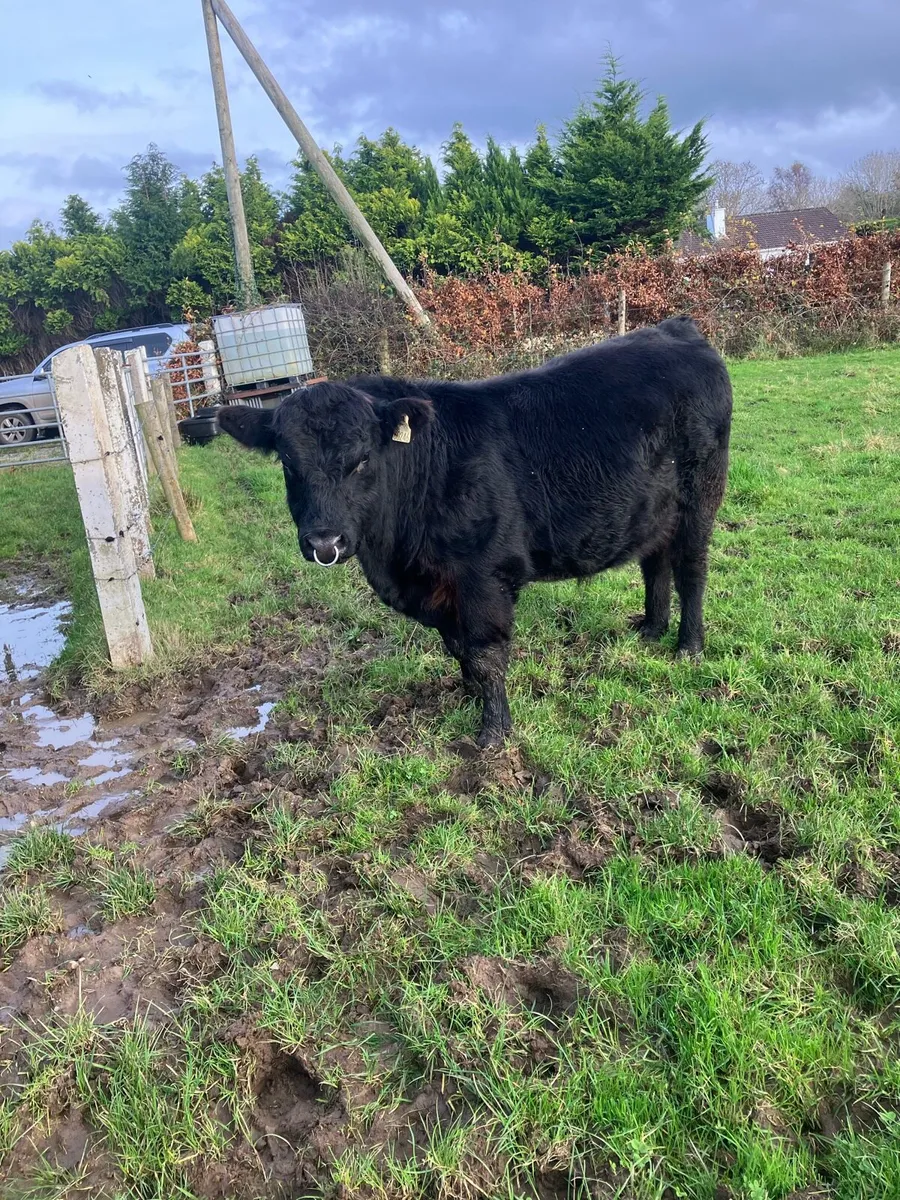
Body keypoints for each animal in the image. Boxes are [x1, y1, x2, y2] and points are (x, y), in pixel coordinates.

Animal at [218, 316, 732, 747]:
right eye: (288, 463)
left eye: (362, 459)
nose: (325, 542)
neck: (396, 561)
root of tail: (677, 329)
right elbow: (457, 646)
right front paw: (467, 694)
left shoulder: (484, 577)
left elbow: (485, 653)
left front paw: (493, 731)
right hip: (654, 511)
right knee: (655, 564)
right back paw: (650, 629)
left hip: (700, 499)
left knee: (691, 571)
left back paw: (688, 646)